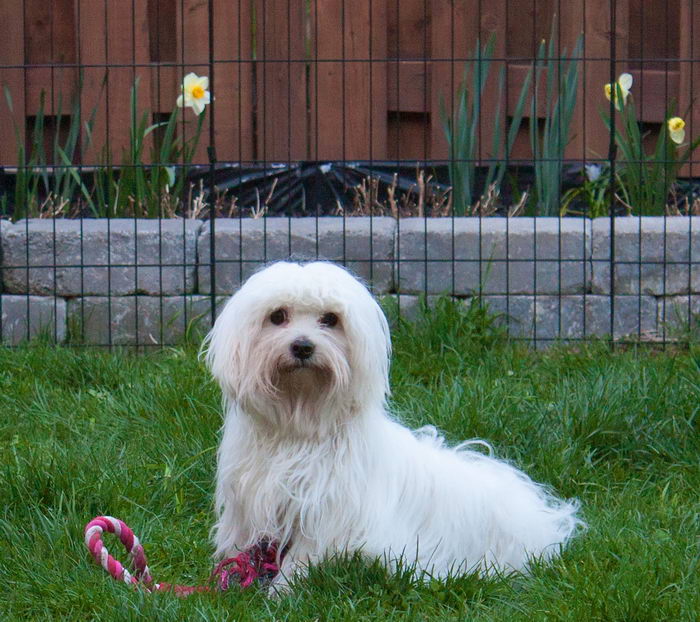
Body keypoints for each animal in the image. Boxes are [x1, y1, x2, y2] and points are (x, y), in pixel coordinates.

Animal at [205, 262, 584, 588]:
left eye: (330, 319)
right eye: (277, 316)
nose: (302, 346)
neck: (300, 422)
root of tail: (543, 520)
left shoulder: (327, 513)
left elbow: (303, 556)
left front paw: (281, 590)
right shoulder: (247, 503)